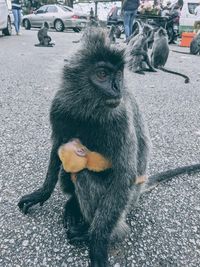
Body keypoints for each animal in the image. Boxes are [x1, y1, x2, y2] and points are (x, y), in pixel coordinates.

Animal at [17, 28, 200, 266]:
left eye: (118, 75)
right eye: (102, 74)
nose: (117, 88)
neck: (87, 110)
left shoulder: (119, 117)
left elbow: (124, 175)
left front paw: (96, 244)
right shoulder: (59, 106)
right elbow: (57, 146)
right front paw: (41, 193)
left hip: (128, 200)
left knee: (86, 176)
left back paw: (100, 231)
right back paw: (73, 206)